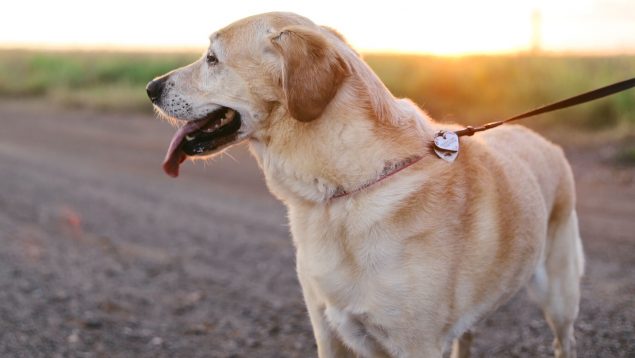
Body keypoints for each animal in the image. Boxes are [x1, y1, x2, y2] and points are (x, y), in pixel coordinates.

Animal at [147, 11, 584, 358]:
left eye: (212, 58)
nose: (151, 88)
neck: (340, 190)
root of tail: (546, 142)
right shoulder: (331, 333)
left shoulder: (415, 345)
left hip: (559, 298)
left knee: (563, 341)